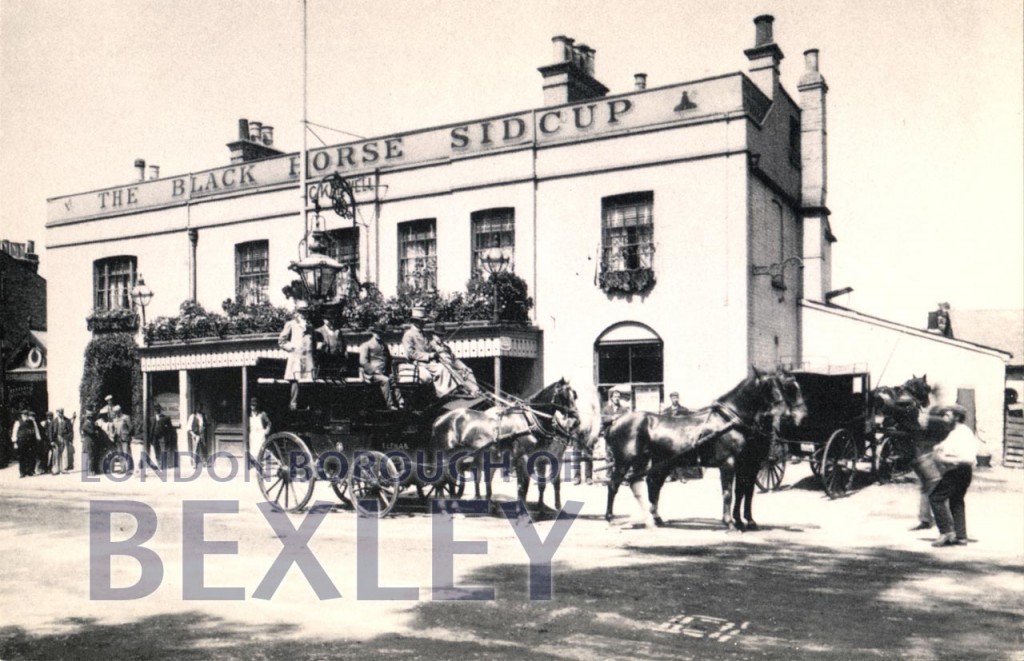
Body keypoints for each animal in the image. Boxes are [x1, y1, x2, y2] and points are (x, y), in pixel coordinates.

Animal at [428, 378, 581, 513]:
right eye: (564, 396)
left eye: (574, 395)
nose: (577, 421)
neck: (529, 421)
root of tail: (440, 419)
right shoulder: (523, 458)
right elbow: (523, 486)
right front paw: (523, 511)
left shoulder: (539, 458)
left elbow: (538, 485)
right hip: (448, 455)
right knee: (443, 478)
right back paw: (444, 506)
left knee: (453, 478)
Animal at [598, 370, 806, 532]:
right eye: (769, 387)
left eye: (783, 387)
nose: (791, 415)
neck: (730, 419)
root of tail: (615, 423)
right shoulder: (729, 464)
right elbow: (729, 492)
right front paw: (730, 523)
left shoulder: (747, 465)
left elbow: (743, 492)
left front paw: (744, 521)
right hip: (624, 461)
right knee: (614, 485)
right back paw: (610, 518)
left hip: (653, 462)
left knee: (646, 484)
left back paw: (653, 519)